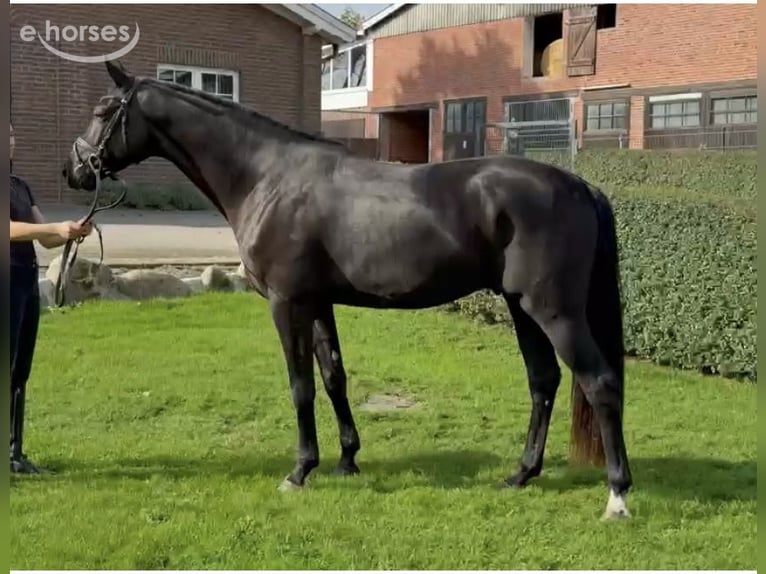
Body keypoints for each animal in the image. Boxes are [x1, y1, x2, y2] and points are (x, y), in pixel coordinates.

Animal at [63, 60, 632, 520]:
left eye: (102, 109)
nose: (73, 170)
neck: (267, 177)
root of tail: (580, 186)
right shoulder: (318, 302)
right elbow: (333, 376)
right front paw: (346, 460)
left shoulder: (286, 303)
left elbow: (301, 386)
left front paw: (299, 471)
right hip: (520, 307)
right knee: (543, 382)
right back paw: (520, 474)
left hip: (553, 311)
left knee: (600, 382)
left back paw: (617, 496)